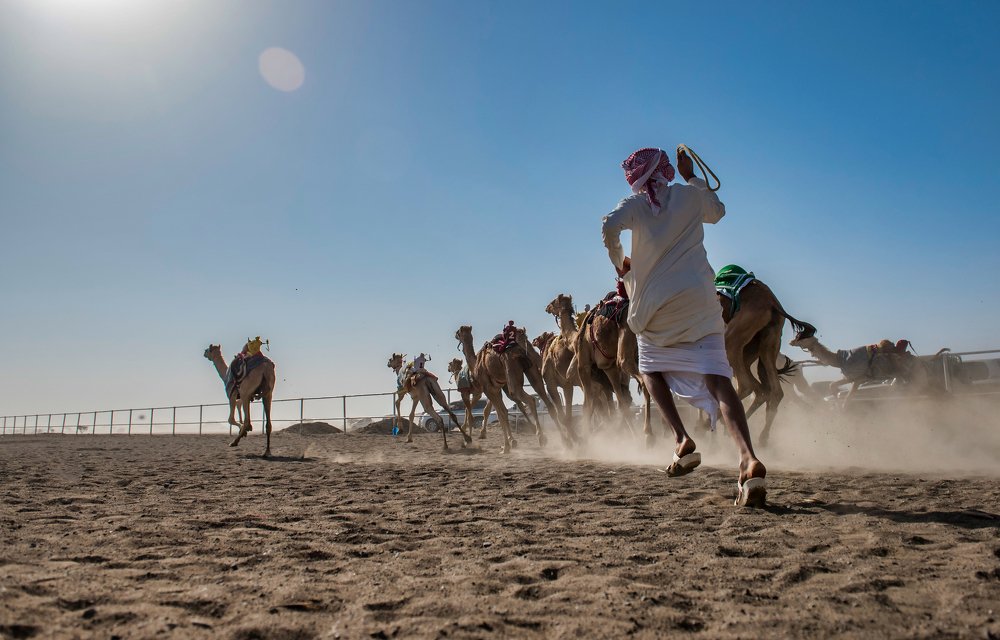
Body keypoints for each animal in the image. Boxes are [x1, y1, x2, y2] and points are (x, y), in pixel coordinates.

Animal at [455, 325, 576, 454]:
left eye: (459, 332)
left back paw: (542, 437)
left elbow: (500, 414)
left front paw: (506, 446)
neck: (475, 365)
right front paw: (510, 442)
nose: (456, 334)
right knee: (546, 401)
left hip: (511, 372)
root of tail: (520, 352)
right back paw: (564, 441)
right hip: (533, 372)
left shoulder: (489, 389)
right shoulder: (497, 389)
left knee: (529, 399)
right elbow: (502, 412)